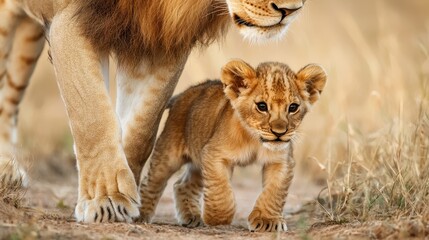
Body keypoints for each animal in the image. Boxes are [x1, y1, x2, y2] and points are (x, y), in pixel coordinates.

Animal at [0, 0, 304, 223]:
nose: (291, 10)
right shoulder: (71, 18)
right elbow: (92, 114)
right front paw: (106, 199)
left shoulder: (160, 36)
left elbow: (141, 129)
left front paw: (129, 197)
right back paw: (6, 171)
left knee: (11, 94)